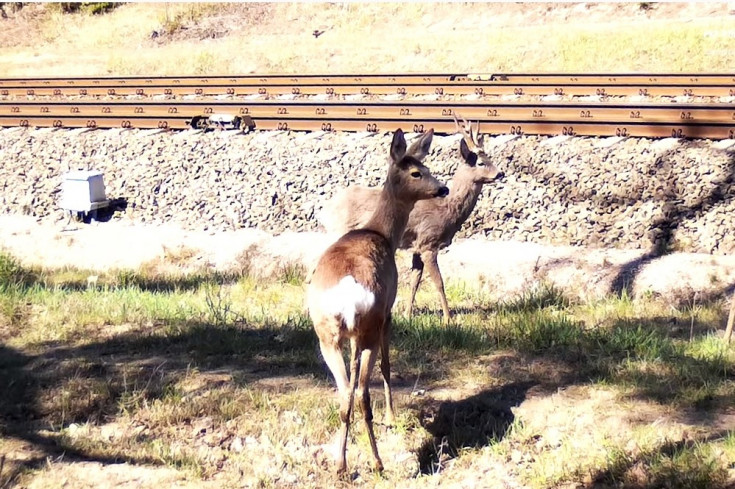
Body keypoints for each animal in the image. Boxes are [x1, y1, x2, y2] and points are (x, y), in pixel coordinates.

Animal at [306, 127, 448, 472]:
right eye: (416, 172)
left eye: (426, 166)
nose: (443, 188)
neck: (381, 233)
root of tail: (347, 296)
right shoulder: (389, 312)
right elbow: (387, 364)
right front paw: (393, 416)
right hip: (369, 327)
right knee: (361, 392)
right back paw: (377, 461)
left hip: (326, 334)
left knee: (345, 393)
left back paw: (341, 464)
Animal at [320, 114, 504, 324]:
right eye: (481, 162)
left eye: (490, 157)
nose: (500, 173)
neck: (447, 210)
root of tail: (324, 210)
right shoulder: (429, 243)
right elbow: (439, 281)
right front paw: (448, 318)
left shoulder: (417, 247)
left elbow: (415, 280)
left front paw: (407, 314)